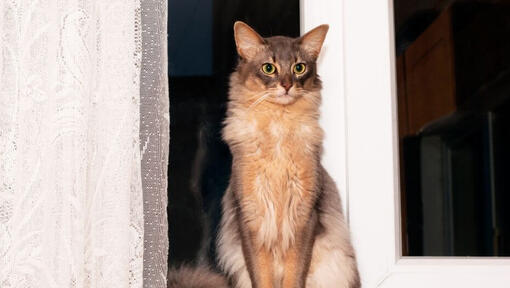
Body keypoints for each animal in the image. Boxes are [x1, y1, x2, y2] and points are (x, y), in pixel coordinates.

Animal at [216, 21, 362, 286]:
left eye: (299, 67)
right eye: (269, 68)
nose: (286, 85)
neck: (278, 128)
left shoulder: (304, 215)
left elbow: (295, 275)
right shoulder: (251, 216)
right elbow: (261, 277)